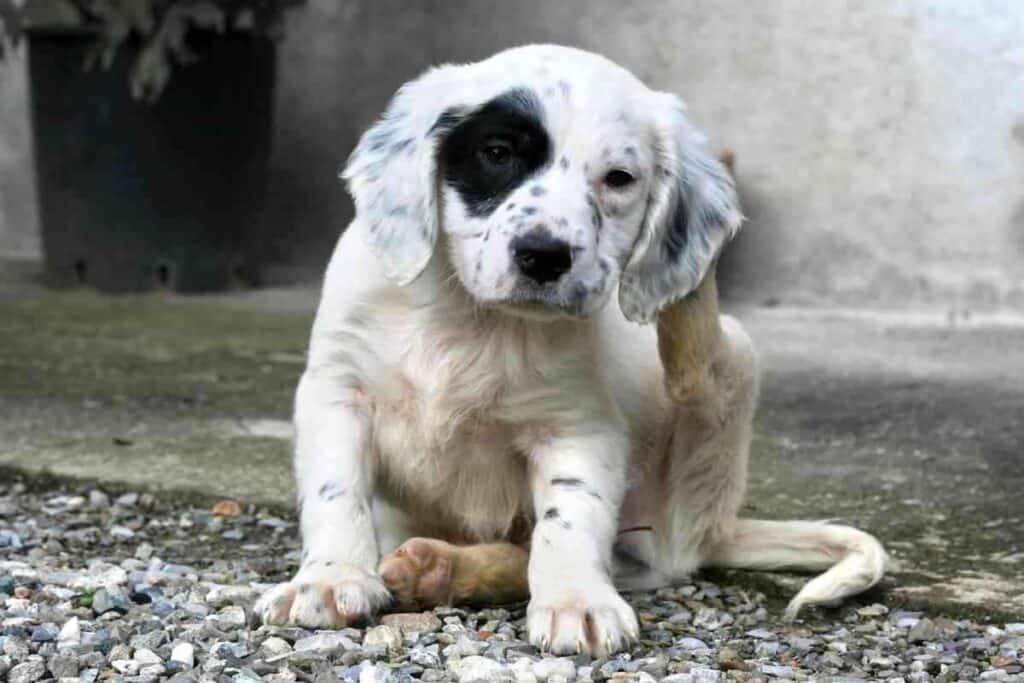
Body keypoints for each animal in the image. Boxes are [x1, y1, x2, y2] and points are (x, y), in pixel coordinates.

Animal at [256, 44, 888, 655]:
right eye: (497, 152)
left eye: (619, 178)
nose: (545, 255)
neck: (474, 319)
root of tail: (718, 527)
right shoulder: (338, 392)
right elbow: (337, 492)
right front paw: (330, 578)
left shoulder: (577, 426)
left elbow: (570, 520)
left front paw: (576, 602)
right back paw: (436, 569)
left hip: (718, 401)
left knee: (695, 384)